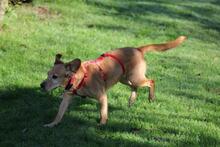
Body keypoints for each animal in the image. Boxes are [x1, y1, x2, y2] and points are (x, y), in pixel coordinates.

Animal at [40, 36, 186, 127]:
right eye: (47, 74)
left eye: (55, 77)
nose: (41, 85)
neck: (80, 77)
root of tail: (138, 49)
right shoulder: (67, 96)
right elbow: (59, 113)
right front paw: (52, 124)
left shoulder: (102, 96)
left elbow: (103, 112)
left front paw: (102, 124)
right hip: (124, 79)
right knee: (135, 88)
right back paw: (132, 100)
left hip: (135, 78)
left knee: (151, 81)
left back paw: (151, 97)